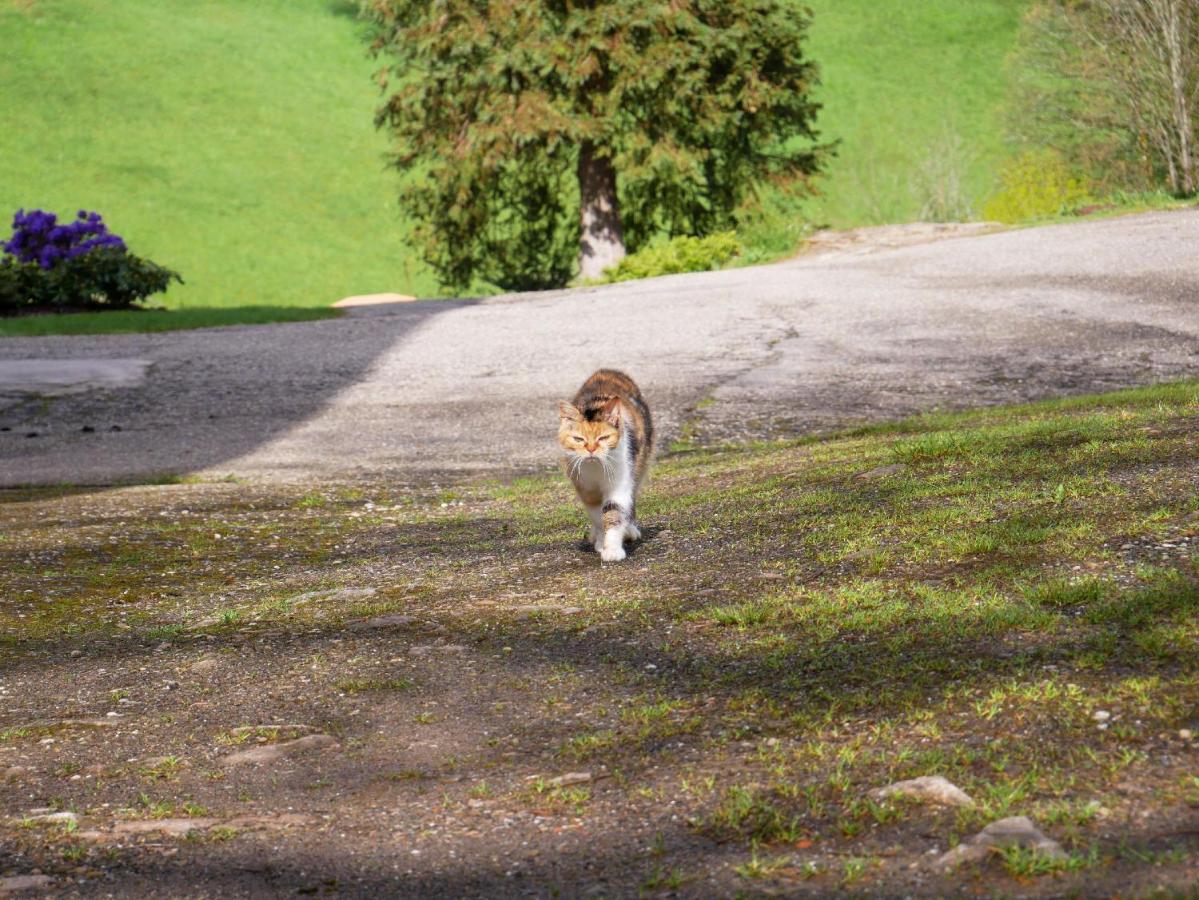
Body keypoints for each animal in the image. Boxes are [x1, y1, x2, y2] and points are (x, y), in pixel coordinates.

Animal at [553, 369, 652, 560]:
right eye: (579, 439)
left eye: (603, 438)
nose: (591, 449)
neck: (596, 469)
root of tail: (606, 371)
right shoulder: (586, 488)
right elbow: (598, 516)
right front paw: (601, 541)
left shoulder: (620, 481)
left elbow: (614, 511)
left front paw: (612, 550)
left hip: (639, 465)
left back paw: (630, 530)